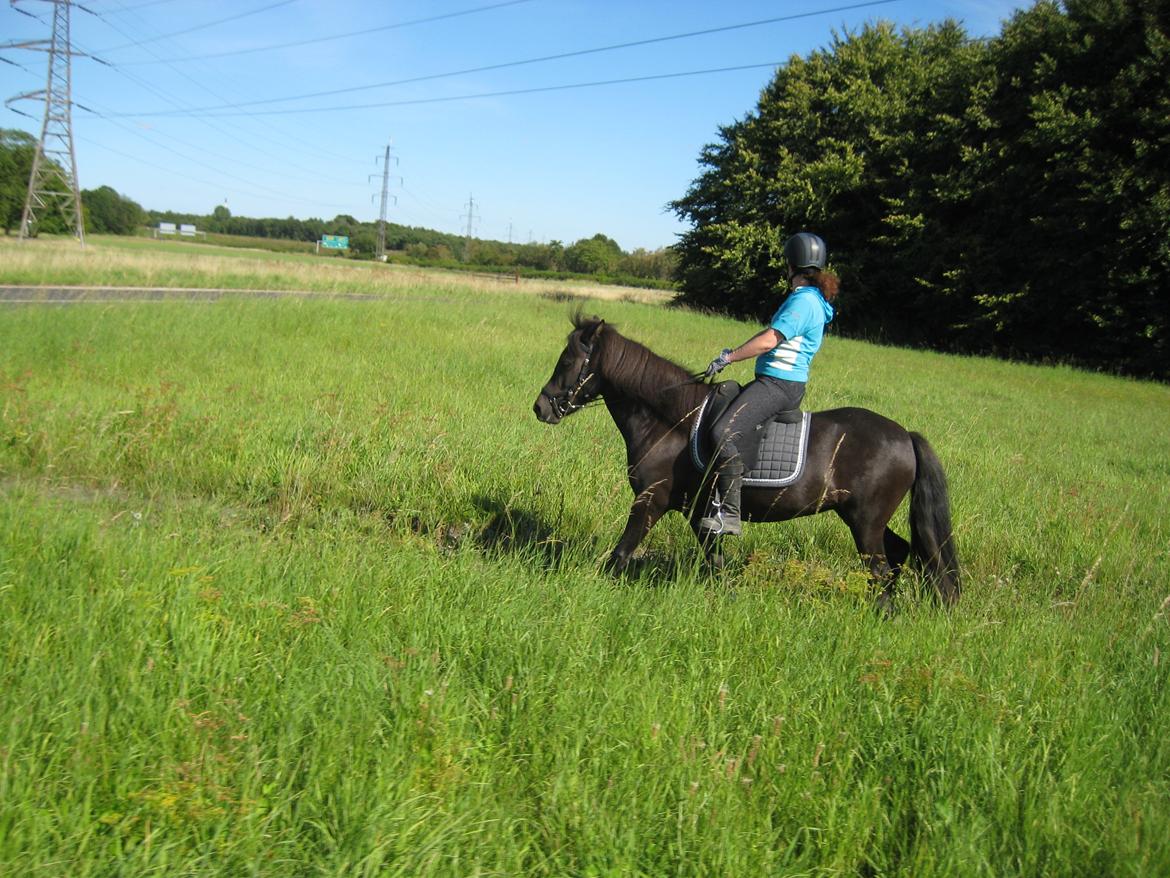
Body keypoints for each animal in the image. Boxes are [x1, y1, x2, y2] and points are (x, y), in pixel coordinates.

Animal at [533, 313, 959, 613]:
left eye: (568, 361)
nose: (540, 408)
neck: (672, 421)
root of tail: (905, 435)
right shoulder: (699, 512)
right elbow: (715, 561)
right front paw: (726, 600)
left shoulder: (651, 501)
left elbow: (622, 552)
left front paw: (594, 589)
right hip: (862, 517)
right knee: (899, 555)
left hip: (865, 521)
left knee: (882, 568)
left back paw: (882, 614)